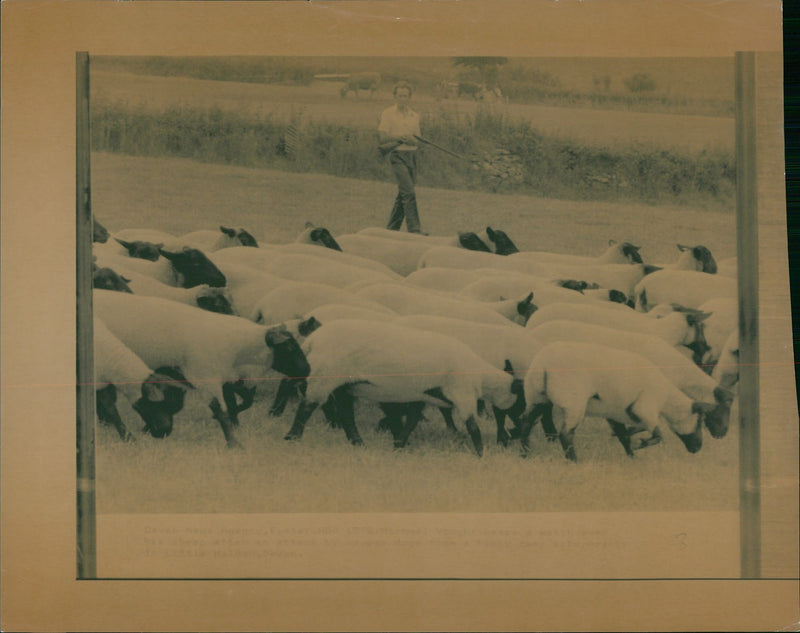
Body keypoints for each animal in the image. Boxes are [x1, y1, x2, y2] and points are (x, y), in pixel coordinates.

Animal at [92, 288, 308, 446]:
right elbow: (221, 410)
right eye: (289, 347)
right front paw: (234, 443)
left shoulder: (223, 376)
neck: (237, 344)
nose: (307, 368)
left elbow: (242, 402)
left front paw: (236, 422)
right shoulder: (206, 376)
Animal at [282, 320, 520, 454]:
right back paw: (292, 439)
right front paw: (480, 453)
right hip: (324, 377)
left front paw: (399, 445)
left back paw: (358, 444)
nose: (516, 432)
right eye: (522, 400)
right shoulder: (463, 393)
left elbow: (413, 419)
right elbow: (473, 426)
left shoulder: (421, 395)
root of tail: (312, 341)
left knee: (346, 414)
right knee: (307, 407)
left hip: (345, 385)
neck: (480, 375)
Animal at [520, 340, 712, 460]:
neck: (667, 398)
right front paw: (638, 444)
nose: (698, 448)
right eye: (700, 422)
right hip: (574, 401)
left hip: (537, 396)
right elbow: (658, 435)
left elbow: (623, 435)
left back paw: (525, 453)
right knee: (566, 433)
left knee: (525, 421)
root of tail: (543, 364)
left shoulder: (615, 411)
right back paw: (573, 461)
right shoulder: (645, 407)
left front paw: (632, 456)